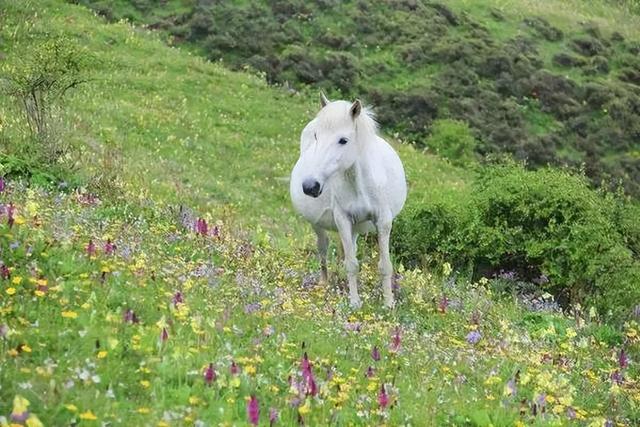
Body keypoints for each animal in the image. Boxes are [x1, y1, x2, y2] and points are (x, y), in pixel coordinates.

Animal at [292, 93, 408, 308]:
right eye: (316, 136)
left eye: (343, 140)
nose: (310, 186)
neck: (360, 184)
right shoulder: (343, 220)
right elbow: (352, 264)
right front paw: (354, 303)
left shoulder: (383, 221)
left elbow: (385, 266)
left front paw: (389, 304)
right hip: (318, 225)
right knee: (323, 249)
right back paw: (324, 282)